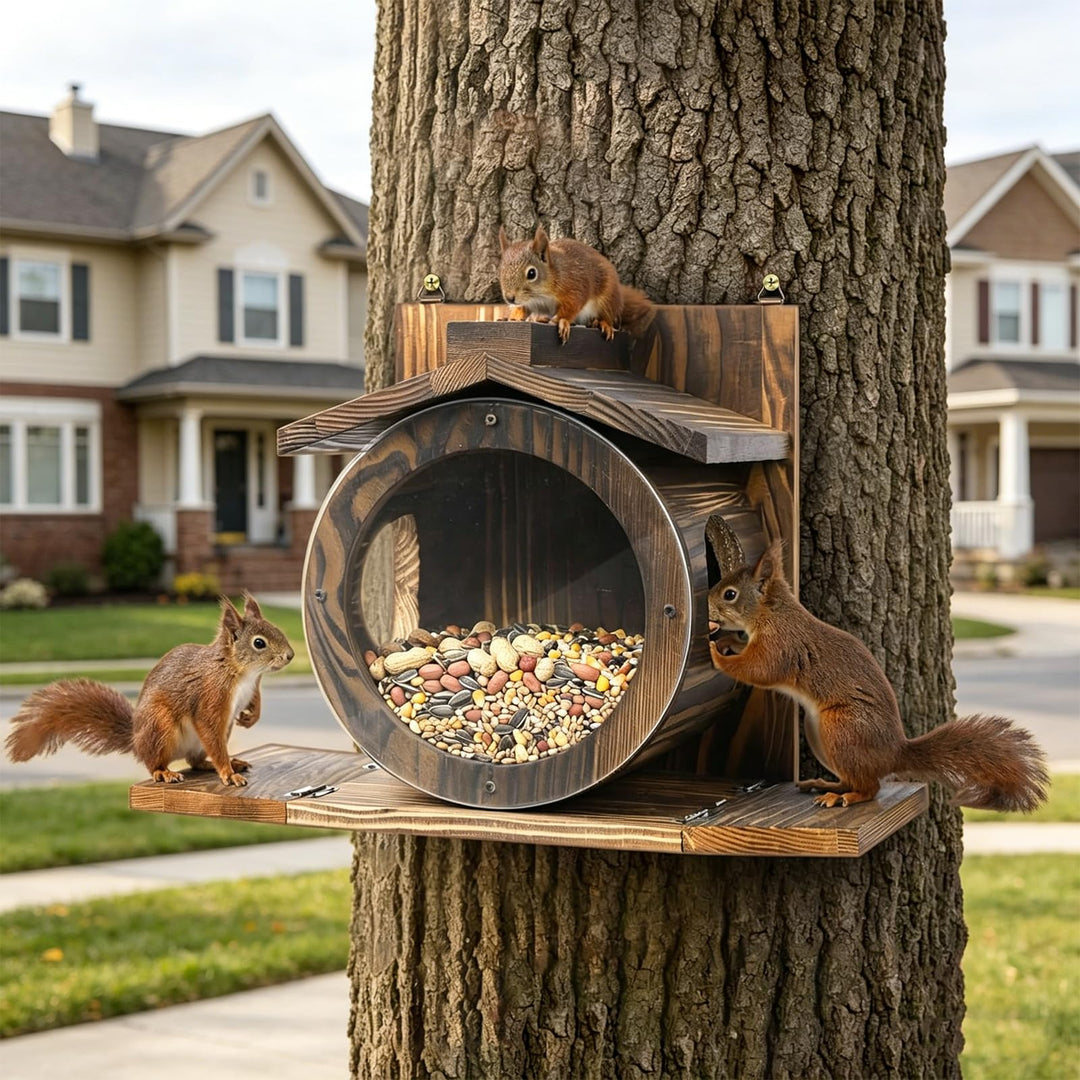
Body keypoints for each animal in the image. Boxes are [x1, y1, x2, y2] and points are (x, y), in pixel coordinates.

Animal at [4, 593, 294, 787]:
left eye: (277, 629)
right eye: (259, 643)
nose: (290, 655)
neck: (243, 673)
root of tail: (136, 740)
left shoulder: (252, 688)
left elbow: (256, 701)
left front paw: (251, 717)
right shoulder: (210, 698)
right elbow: (210, 730)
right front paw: (228, 774)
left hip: (208, 735)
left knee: (195, 761)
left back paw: (227, 761)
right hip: (160, 726)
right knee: (154, 762)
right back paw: (165, 772)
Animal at [498, 224, 655, 344]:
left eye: (532, 273)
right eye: (500, 270)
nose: (510, 298)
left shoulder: (574, 286)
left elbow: (572, 306)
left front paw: (562, 321)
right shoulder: (528, 302)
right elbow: (522, 308)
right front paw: (513, 317)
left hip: (608, 298)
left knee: (607, 315)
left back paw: (602, 324)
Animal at [707, 542, 1048, 812]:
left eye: (730, 594)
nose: (707, 610)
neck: (772, 612)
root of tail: (893, 754)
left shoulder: (782, 646)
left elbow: (758, 670)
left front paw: (715, 653)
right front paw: (728, 641)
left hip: (842, 729)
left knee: (871, 789)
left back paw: (845, 797)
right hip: (821, 734)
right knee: (857, 779)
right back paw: (827, 785)